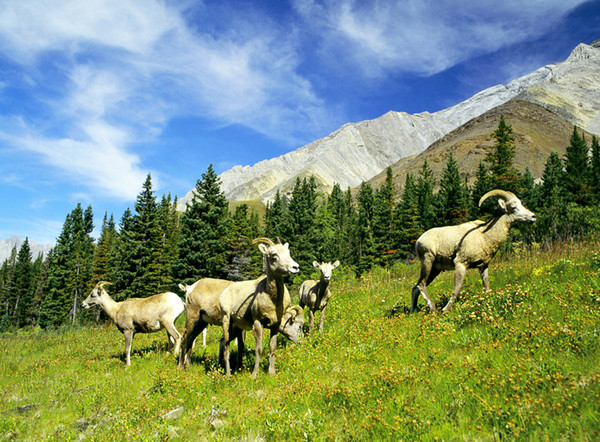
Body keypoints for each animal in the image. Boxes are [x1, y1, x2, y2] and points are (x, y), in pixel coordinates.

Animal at [219, 237, 304, 378]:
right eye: (274, 255)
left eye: (288, 252)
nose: (295, 267)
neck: (273, 300)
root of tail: (224, 293)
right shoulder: (258, 324)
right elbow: (259, 349)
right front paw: (254, 375)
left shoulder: (275, 325)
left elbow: (272, 347)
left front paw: (271, 373)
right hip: (226, 321)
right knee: (226, 346)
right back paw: (228, 374)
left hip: (236, 327)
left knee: (222, 343)